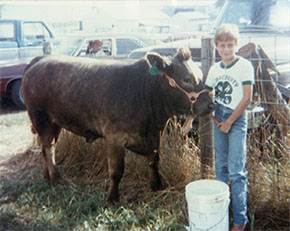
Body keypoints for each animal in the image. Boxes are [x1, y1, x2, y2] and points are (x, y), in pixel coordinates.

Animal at [22, 47, 215, 203]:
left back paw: (47, 176)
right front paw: (112, 198)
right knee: (48, 148)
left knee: (45, 148)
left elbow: (154, 161)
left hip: (54, 122)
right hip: (41, 118)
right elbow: (116, 171)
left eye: (200, 75)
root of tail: (39, 60)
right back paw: (56, 179)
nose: (211, 105)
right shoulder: (115, 137)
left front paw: (156, 185)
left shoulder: (154, 136)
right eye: (187, 79)